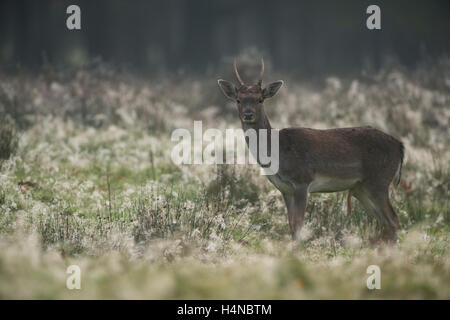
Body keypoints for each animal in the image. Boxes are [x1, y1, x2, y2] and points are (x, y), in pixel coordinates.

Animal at [218, 59, 404, 245]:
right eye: (238, 100)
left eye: (260, 99)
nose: (248, 114)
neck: (278, 153)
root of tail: (400, 146)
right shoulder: (285, 189)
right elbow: (291, 225)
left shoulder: (302, 181)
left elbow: (298, 224)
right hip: (361, 187)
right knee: (384, 223)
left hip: (379, 180)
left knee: (393, 220)